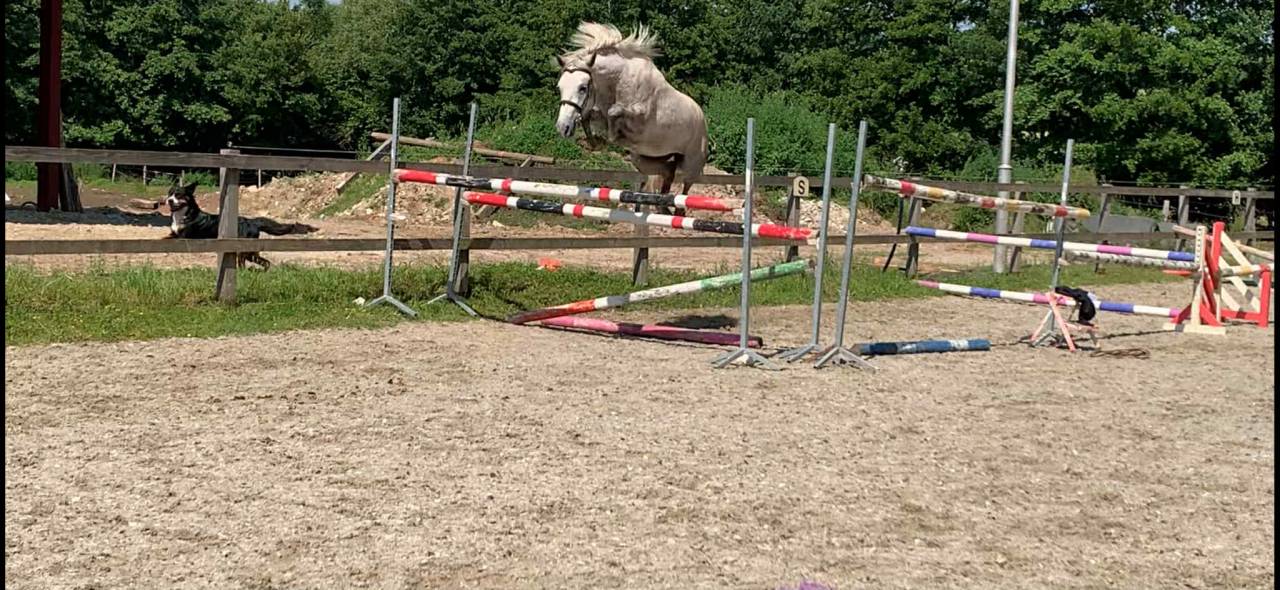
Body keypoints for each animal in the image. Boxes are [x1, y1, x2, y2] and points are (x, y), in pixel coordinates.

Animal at [554, 22, 708, 203]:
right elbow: (593, 116)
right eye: (560, 87)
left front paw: (611, 137)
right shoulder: (600, 112)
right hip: (647, 159)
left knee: (685, 189)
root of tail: (702, 117)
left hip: (691, 165)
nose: (562, 127)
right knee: (668, 172)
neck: (620, 80)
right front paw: (593, 142)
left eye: (582, 88)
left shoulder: (640, 120)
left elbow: (615, 112)